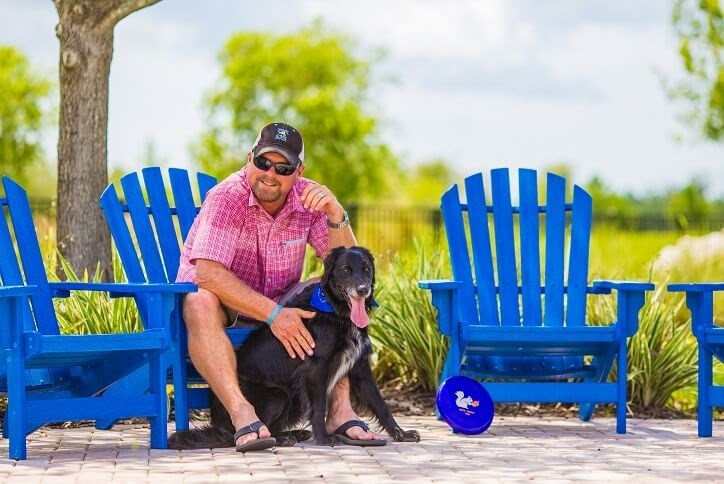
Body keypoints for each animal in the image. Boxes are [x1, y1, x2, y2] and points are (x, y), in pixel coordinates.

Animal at [168, 246, 418, 450]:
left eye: (366, 269)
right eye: (346, 269)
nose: (363, 289)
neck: (336, 312)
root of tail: (218, 422)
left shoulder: (360, 367)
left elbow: (381, 404)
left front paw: (401, 434)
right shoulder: (316, 370)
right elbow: (320, 407)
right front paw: (323, 438)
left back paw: (295, 433)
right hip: (277, 395)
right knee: (244, 434)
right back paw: (278, 438)